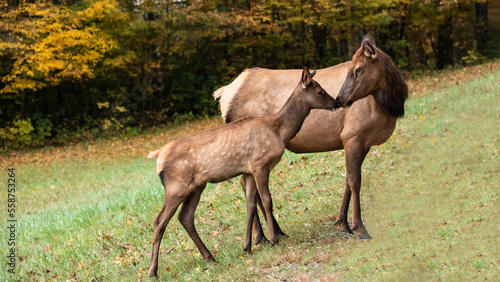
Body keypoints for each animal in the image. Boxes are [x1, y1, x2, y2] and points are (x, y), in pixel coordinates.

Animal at [146, 67, 338, 278]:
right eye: (320, 91)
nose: (336, 102)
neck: (279, 131)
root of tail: (158, 155)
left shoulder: (248, 170)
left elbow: (250, 205)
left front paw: (247, 246)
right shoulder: (260, 164)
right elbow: (267, 200)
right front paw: (274, 240)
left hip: (196, 186)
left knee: (185, 217)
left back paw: (210, 257)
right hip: (176, 186)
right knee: (159, 221)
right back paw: (153, 271)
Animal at [213, 34, 408, 240]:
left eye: (358, 68)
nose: (340, 99)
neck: (389, 106)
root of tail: (223, 95)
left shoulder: (364, 142)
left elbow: (347, 179)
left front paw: (343, 223)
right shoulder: (352, 135)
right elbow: (355, 181)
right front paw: (360, 228)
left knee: (248, 186)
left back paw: (274, 232)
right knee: (247, 186)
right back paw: (262, 237)